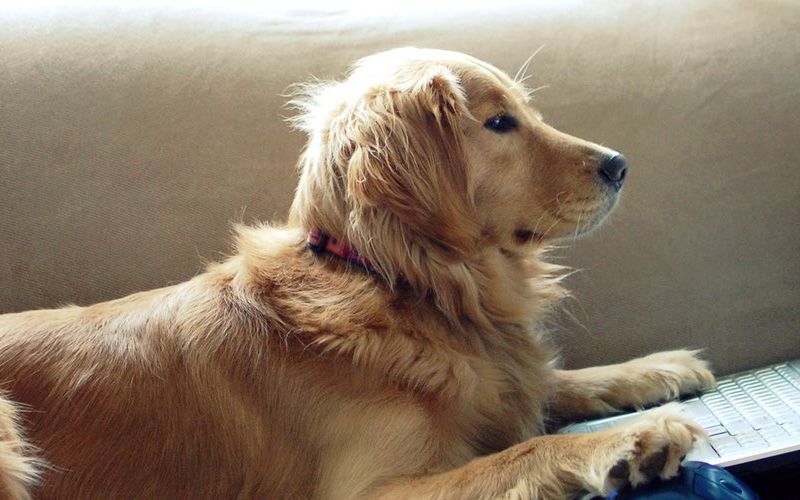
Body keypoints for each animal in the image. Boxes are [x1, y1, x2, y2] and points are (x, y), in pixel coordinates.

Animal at [0, 46, 712, 496]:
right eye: (499, 122)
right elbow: (524, 450)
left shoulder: (501, 376)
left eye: (527, 111)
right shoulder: (375, 488)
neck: (399, 284)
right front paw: (631, 439)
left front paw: (659, 368)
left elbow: (553, 381)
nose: (620, 164)